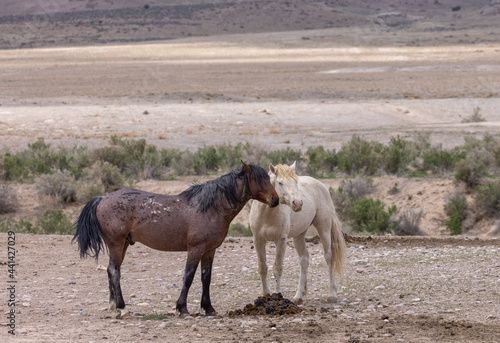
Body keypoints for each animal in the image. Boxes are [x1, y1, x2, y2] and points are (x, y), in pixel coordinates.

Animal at [72, 163, 280, 318]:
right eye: (258, 179)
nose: (275, 199)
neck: (211, 208)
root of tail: (102, 198)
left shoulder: (209, 250)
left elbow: (206, 278)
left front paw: (209, 308)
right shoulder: (195, 249)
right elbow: (188, 277)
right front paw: (183, 308)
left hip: (122, 244)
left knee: (110, 270)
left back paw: (112, 305)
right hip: (116, 244)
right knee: (114, 271)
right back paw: (122, 307)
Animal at [249, 163, 346, 306]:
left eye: (295, 182)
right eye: (280, 182)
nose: (298, 203)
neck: (267, 214)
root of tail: (321, 185)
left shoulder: (281, 240)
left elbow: (277, 269)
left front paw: (278, 296)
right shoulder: (258, 240)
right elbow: (263, 268)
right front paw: (266, 295)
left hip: (324, 228)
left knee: (329, 257)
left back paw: (332, 294)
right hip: (299, 235)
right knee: (304, 259)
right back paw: (299, 296)